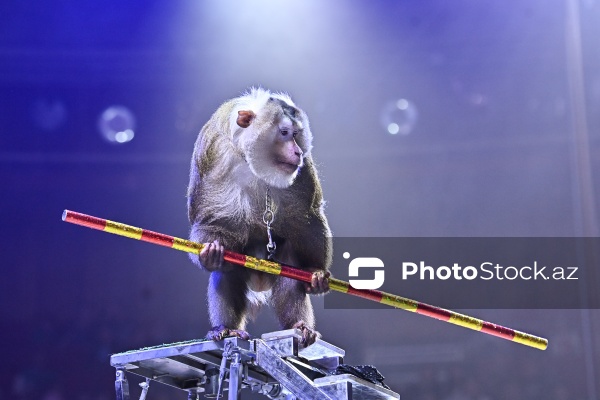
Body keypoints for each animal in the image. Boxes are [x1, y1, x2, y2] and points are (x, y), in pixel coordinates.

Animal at [188, 88, 332, 346]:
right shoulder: (213, 155)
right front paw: (210, 254)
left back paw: (300, 326)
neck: (249, 160)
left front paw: (316, 272)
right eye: (284, 133)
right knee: (227, 267)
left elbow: (308, 219)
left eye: (296, 134)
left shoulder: (302, 172)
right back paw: (227, 327)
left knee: (291, 265)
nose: (297, 151)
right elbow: (210, 218)